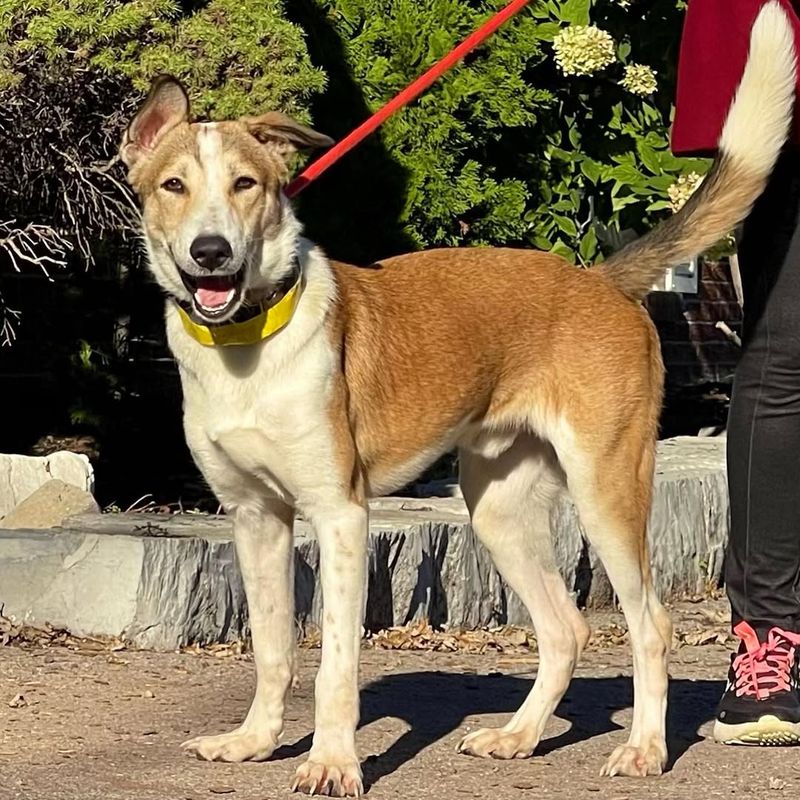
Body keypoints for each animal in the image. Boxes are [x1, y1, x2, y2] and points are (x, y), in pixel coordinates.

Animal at [122, 4, 796, 792]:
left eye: (245, 184)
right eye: (173, 186)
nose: (211, 253)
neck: (250, 346)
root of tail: (600, 278)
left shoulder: (340, 515)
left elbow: (335, 667)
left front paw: (332, 762)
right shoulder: (255, 517)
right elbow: (272, 649)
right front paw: (255, 741)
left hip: (606, 489)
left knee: (650, 626)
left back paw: (645, 749)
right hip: (499, 507)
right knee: (565, 628)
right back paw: (520, 735)